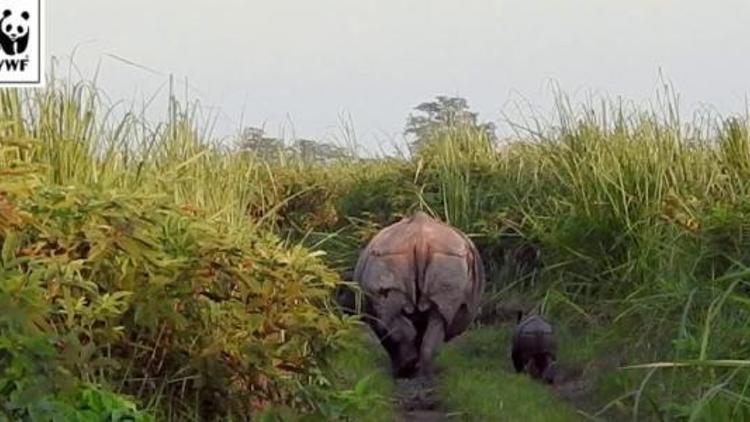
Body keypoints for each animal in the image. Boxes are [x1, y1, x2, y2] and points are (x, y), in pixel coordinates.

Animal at [354, 211, 484, 380]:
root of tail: (420, 240)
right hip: (440, 257)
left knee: (392, 318)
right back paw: (421, 375)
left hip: (393, 257)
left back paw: (415, 372)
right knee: (429, 319)